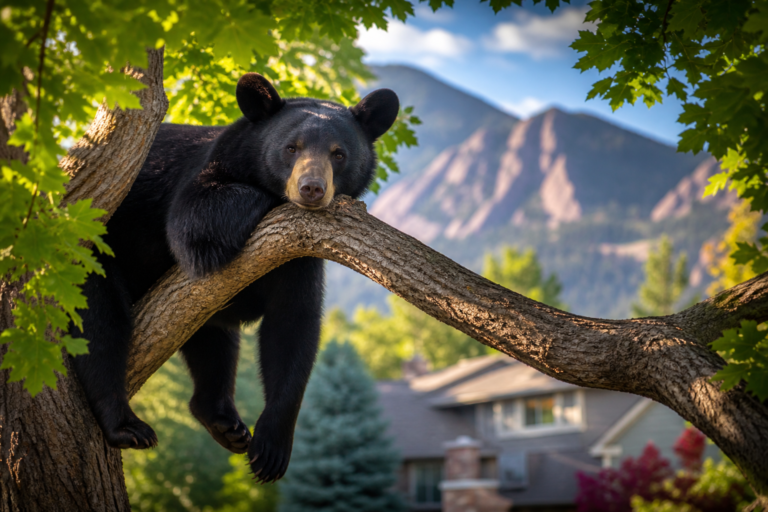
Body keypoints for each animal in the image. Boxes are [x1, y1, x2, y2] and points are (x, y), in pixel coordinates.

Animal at [71, 72, 399, 483]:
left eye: (339, 154)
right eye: (291, 148)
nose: (311, 189)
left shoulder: (298, 257)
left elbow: (293, 325)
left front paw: (271, 449)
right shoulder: (208, 172)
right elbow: (194, 223)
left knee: (213, 341)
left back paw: (225, 422)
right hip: (91, 251)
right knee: (100, 323)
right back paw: (126, 425)